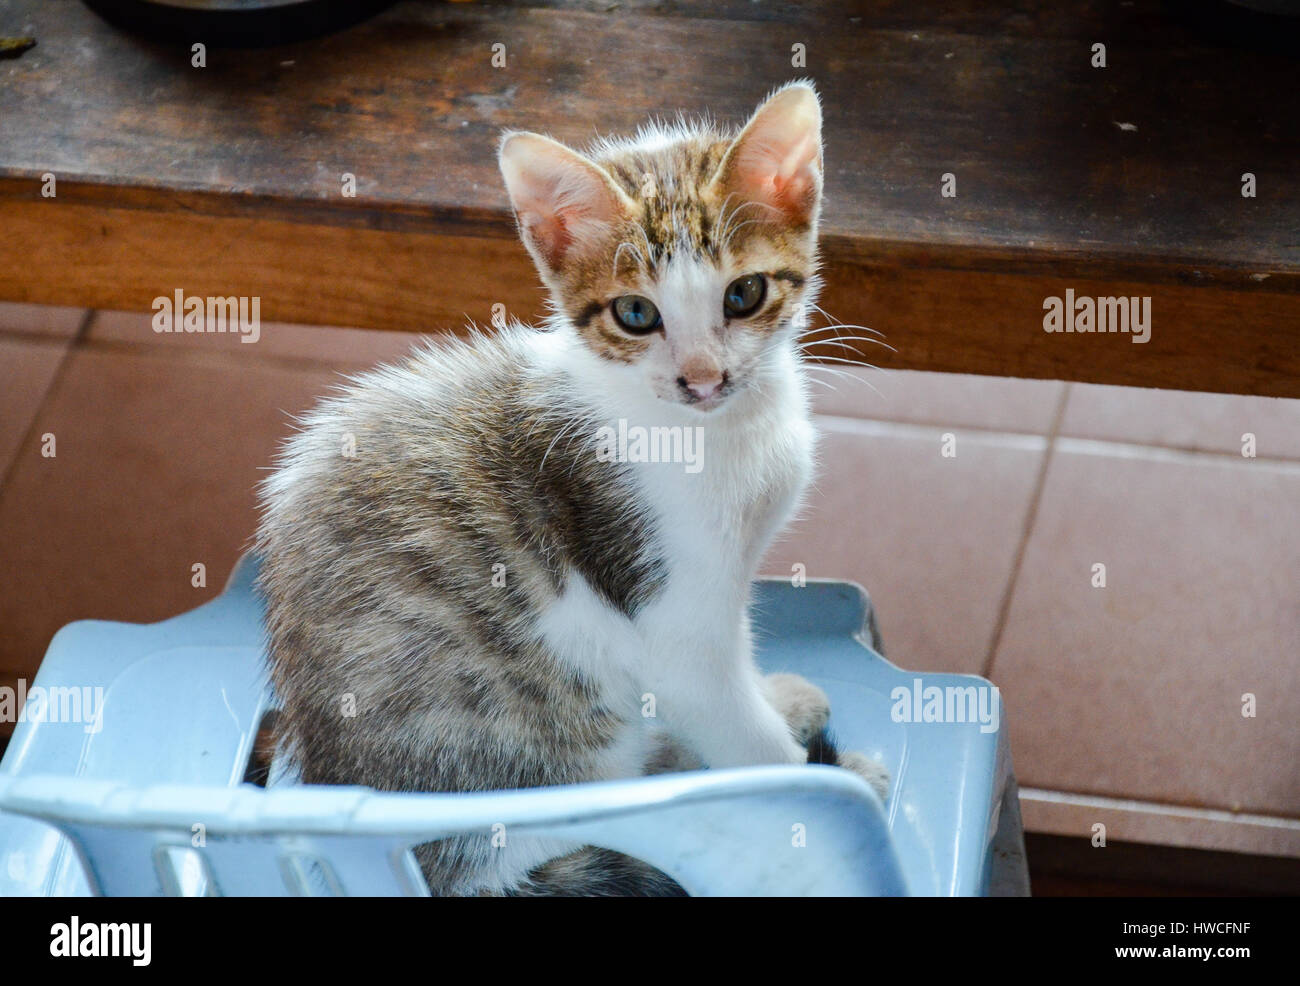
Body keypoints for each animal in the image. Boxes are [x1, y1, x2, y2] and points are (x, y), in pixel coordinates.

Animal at [256, 82, 883, 905]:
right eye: (636, 314)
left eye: (744, 294)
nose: (703, 379)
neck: (716, 430)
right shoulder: (669, 614)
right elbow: (743, 737)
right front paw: (816, 800)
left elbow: (736, 674)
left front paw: (775, 703)